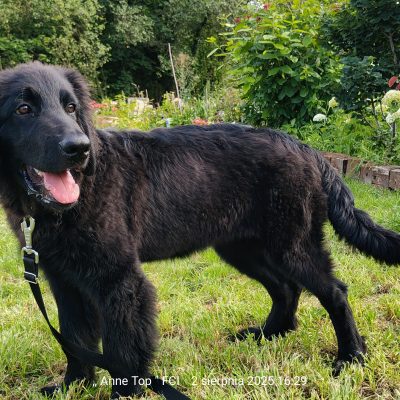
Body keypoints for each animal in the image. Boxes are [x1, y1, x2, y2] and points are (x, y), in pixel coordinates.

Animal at [0, 62, 399, 398]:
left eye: (70, 108)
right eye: (23, 109)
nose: (79, 149)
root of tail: (308, 150)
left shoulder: (120, 281)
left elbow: (123, 350)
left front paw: (124, 393)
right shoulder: (63, 282)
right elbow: (73, 339)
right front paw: (73, 386)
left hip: (293, 246)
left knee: (334, 292)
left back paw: (350, 357)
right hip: (243, 248)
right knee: (285, 288)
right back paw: (268, 335)